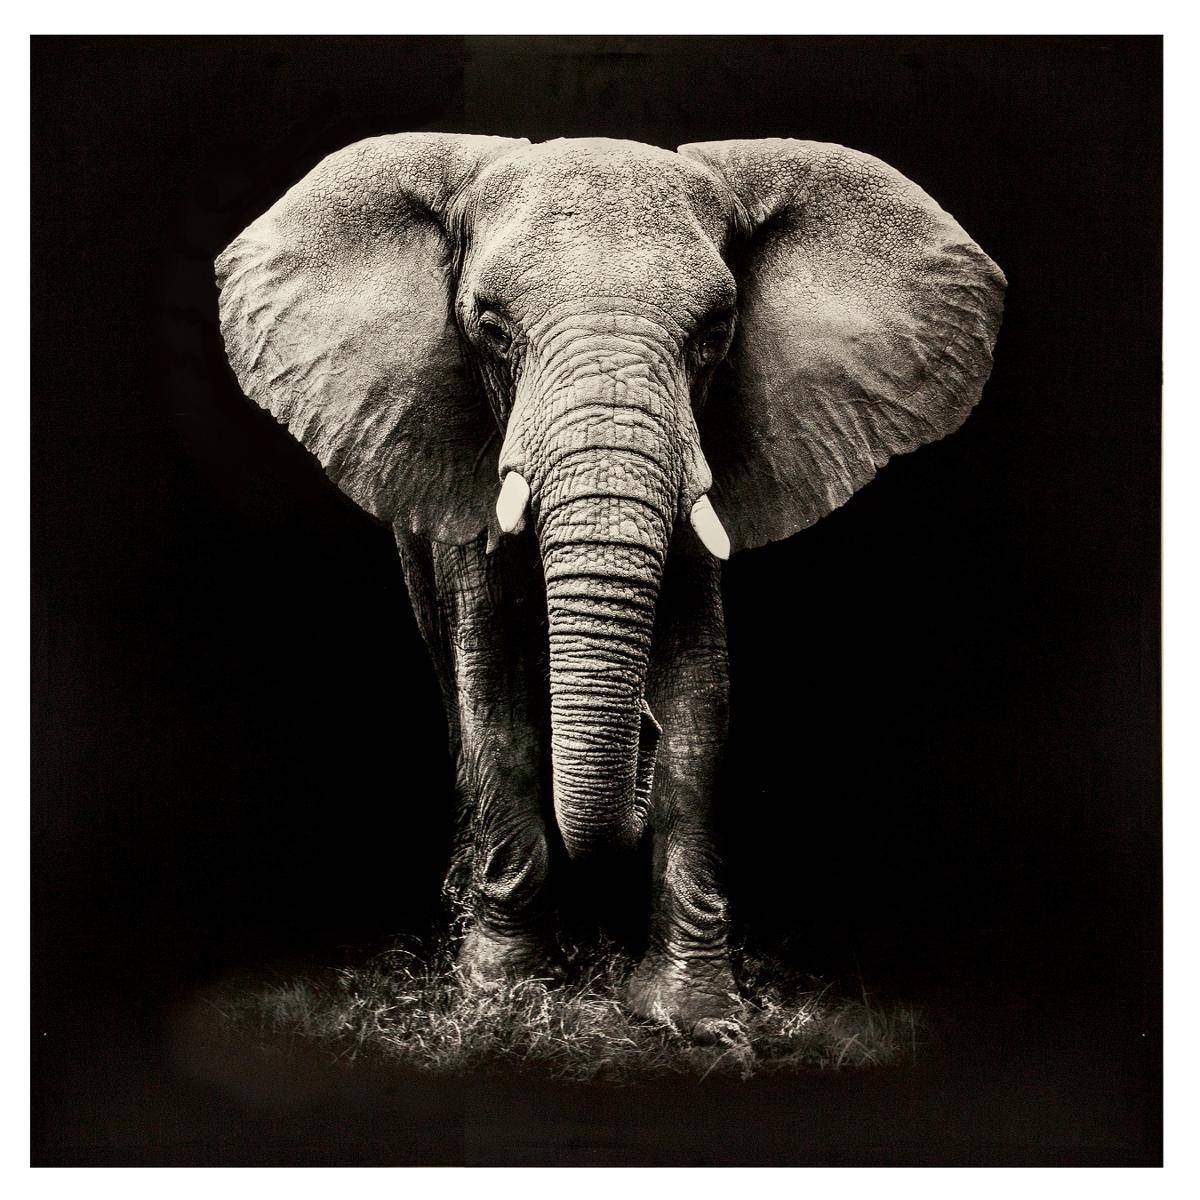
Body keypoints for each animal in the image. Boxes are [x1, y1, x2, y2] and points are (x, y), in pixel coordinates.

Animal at [215, 134, 1005, 1038]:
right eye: (490, 329)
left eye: (715, 333)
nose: (640, 738)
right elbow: (494, 696)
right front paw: (504, 998)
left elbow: (703, 699)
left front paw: (693, 1015)